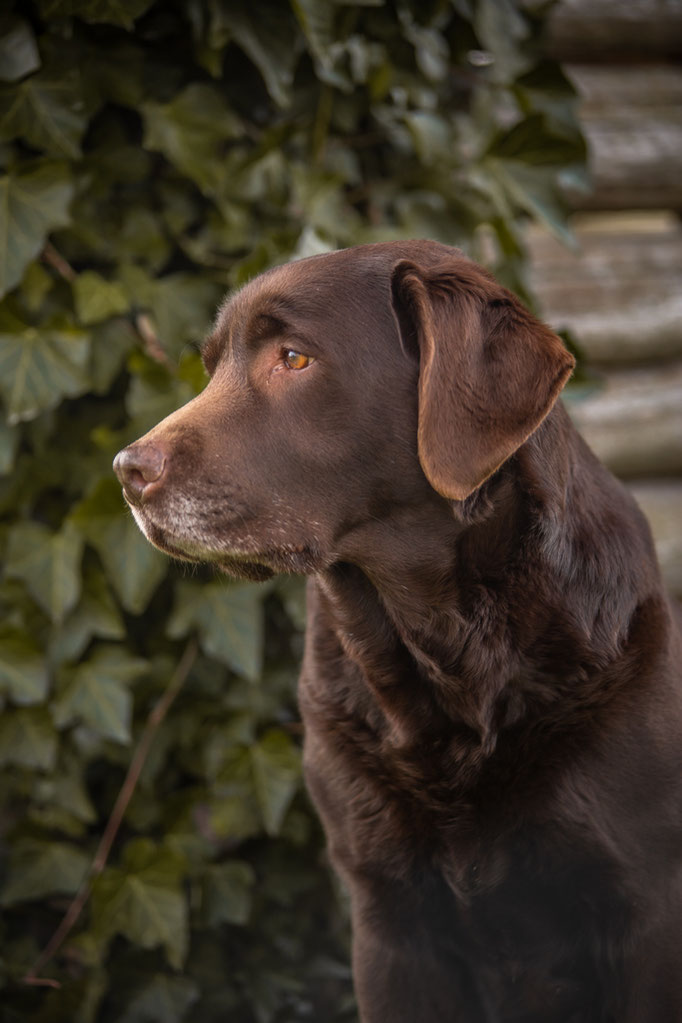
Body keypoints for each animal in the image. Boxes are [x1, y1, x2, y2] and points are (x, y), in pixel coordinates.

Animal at [114, 241, 682, 1022]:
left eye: (293, 358)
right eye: (211, 365)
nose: (126, 470)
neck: (447, 646)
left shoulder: (645, 908)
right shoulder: (387, 918)